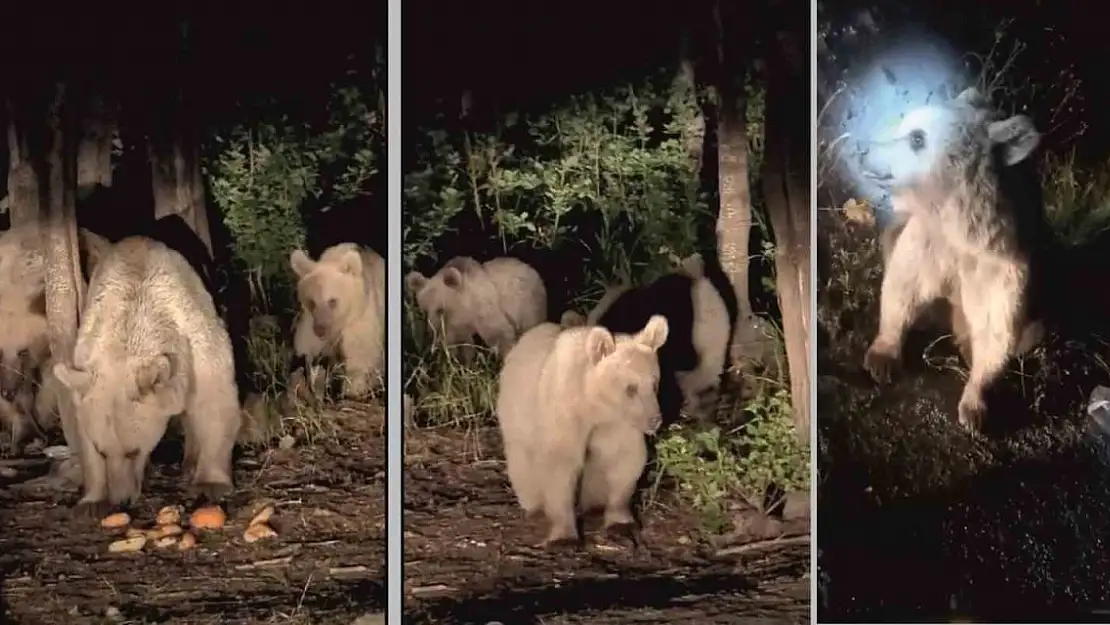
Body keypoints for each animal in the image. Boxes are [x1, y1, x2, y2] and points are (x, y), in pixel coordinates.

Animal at [52, 236, 240, 519]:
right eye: (102, 451)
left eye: (133, 451)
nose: (121, 500)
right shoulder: (86, 355)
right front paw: (92, 501)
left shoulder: (195, 338)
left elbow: (213, 399)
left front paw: (211, 483)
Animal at [290, 242, 386, 399]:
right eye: (312, 302)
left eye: (332, 301)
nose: (320, 330)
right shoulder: (310, 322)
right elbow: (307, 349)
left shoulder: (359, 319)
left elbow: (361, 355)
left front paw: (352, 390)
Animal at [408, 255, 546, 361]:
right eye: (424, 310)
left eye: (440, 310)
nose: (430, 332)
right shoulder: (457, 328)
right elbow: (463, 348)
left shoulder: (484, 311)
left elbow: (501, 336)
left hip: (528, 307)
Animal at [499, 315, 670, 546]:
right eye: (631, 388)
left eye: (654, 383)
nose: (655, 420)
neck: (595, 402)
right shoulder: (564, 407)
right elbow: (559, 463)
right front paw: (564, 537)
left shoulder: (617, 422)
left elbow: (623, 459)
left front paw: (621, 523)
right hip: (519, 415)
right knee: (522, 461)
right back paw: (534, 505)